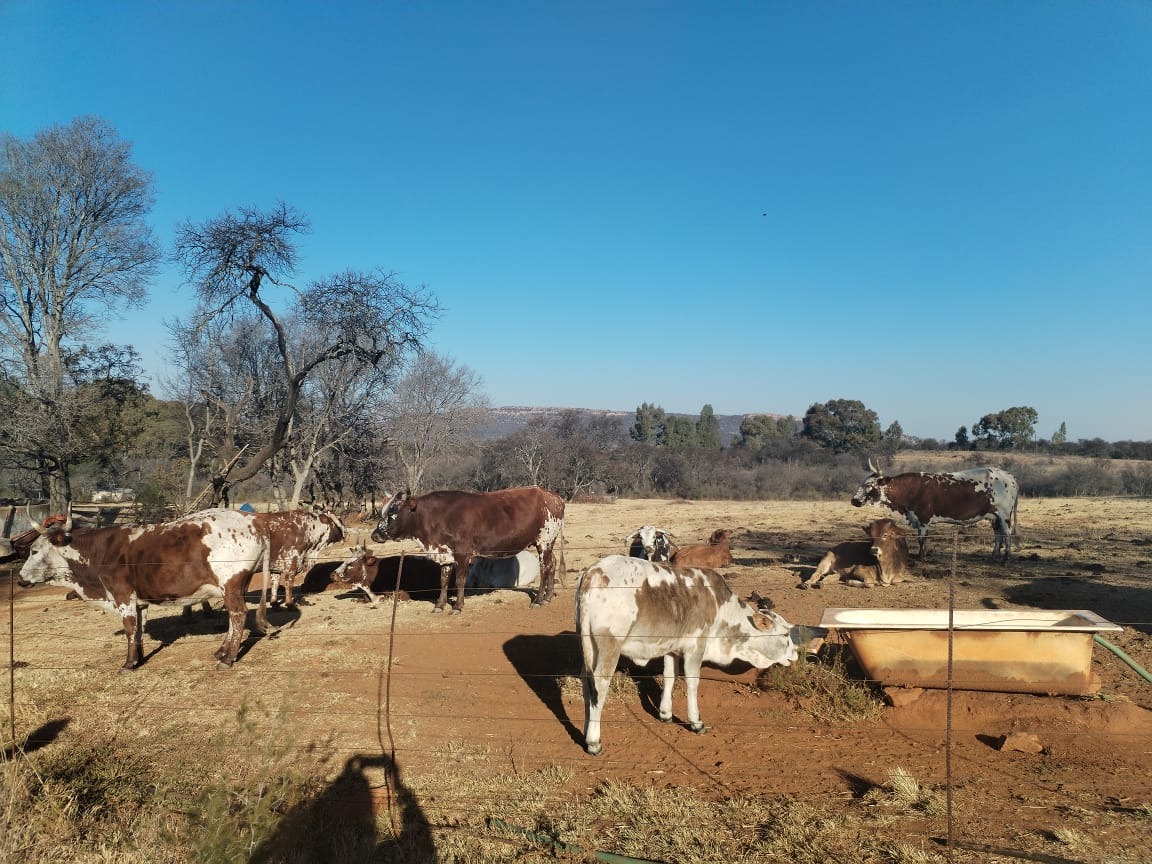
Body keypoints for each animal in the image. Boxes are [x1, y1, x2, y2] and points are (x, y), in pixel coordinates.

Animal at [16, 508, 271, 671]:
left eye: (34, 551)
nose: (20, 579)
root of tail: (253, 522)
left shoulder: (123, 596)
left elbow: (129, 628)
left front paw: (128, 664)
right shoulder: (140, 602)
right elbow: (139, 630)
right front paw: (138, 658)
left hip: (231, 585)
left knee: (238, 615)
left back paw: (227, 659)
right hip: (237, 586)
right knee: (233, 618)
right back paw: (222, 651)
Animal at [371, 486, 566, 613]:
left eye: (393, 513)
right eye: (383, 512)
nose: (375, 535)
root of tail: (551, 495)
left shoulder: (463, 553)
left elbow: (459, 580)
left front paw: (457, 606)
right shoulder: (444, 553)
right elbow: (443, 580)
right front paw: (439, 605)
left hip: (544, 541)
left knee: (545, 568)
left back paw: (538, 600)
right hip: (548, 543)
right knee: (552, 563)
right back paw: (548, 596)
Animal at [575, 554, 799, 756]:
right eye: (785, 634)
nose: (795, 654)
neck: (719, 606)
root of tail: (593, 573)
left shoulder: (672, 649)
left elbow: (670, 677)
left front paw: (665, 713)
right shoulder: (696, 646)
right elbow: (692, 681)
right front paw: (696, 722)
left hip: (589, 647)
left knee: (587, 685)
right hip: (609, 648)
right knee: (600, 686)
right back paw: (594, 742)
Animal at [851, 460, 1020, 561]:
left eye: (868, 485)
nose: (854, 500)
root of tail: (1009, 476)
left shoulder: (923, 519)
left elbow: (921, 539)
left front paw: (921, 558)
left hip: (1004, 515)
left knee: (1007, 534)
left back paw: (1006, 559)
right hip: (994, 516)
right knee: (998, 535)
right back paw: (994, 556)